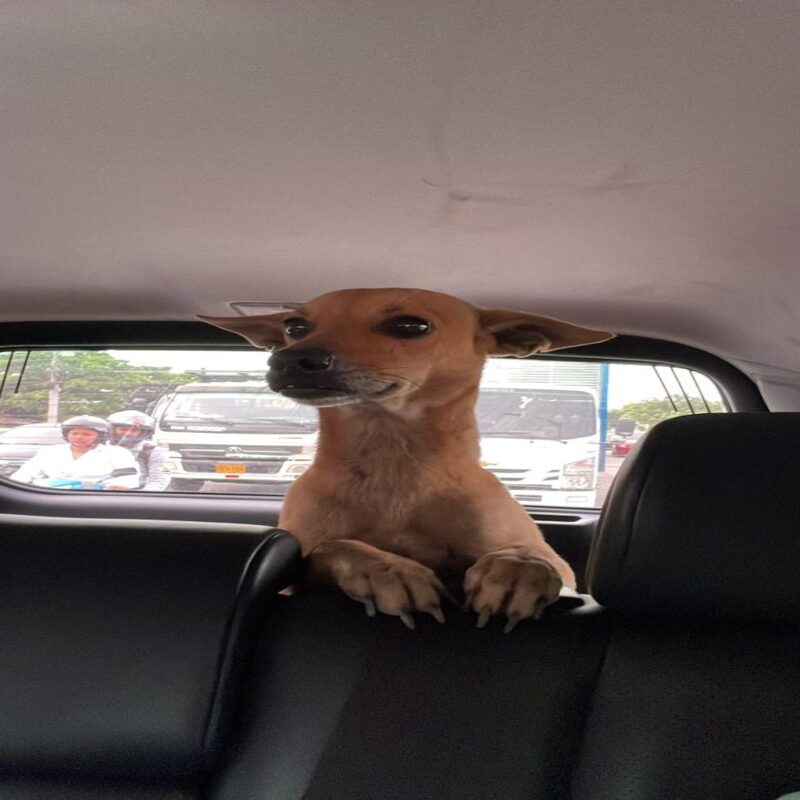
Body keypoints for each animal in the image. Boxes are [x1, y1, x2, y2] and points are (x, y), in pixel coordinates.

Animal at [200, 288, 612, 632]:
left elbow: (532, 554)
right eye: (295, 326)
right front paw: (388, 569)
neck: (393, 461)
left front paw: (515, 569)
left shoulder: (559, 566)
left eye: (411, 326)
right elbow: (335, 546)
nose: (290, 358)